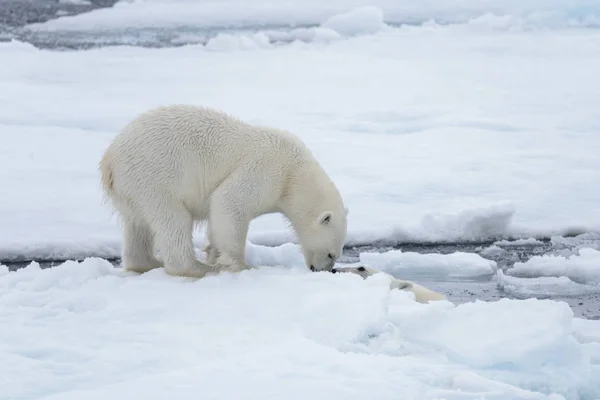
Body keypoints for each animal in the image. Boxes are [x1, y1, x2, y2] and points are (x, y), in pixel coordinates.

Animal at [101, 104, 350, 278]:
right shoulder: (267, 170)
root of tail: (110, 160)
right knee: (172, 219)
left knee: (138, 226)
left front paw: (214, 253)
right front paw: (239, 264)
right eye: (331, 254)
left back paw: (147, 263)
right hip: (155, 177)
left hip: (133, 189)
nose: (322, 270)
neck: (294, 173)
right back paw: (198, 268)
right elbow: (229, 201)